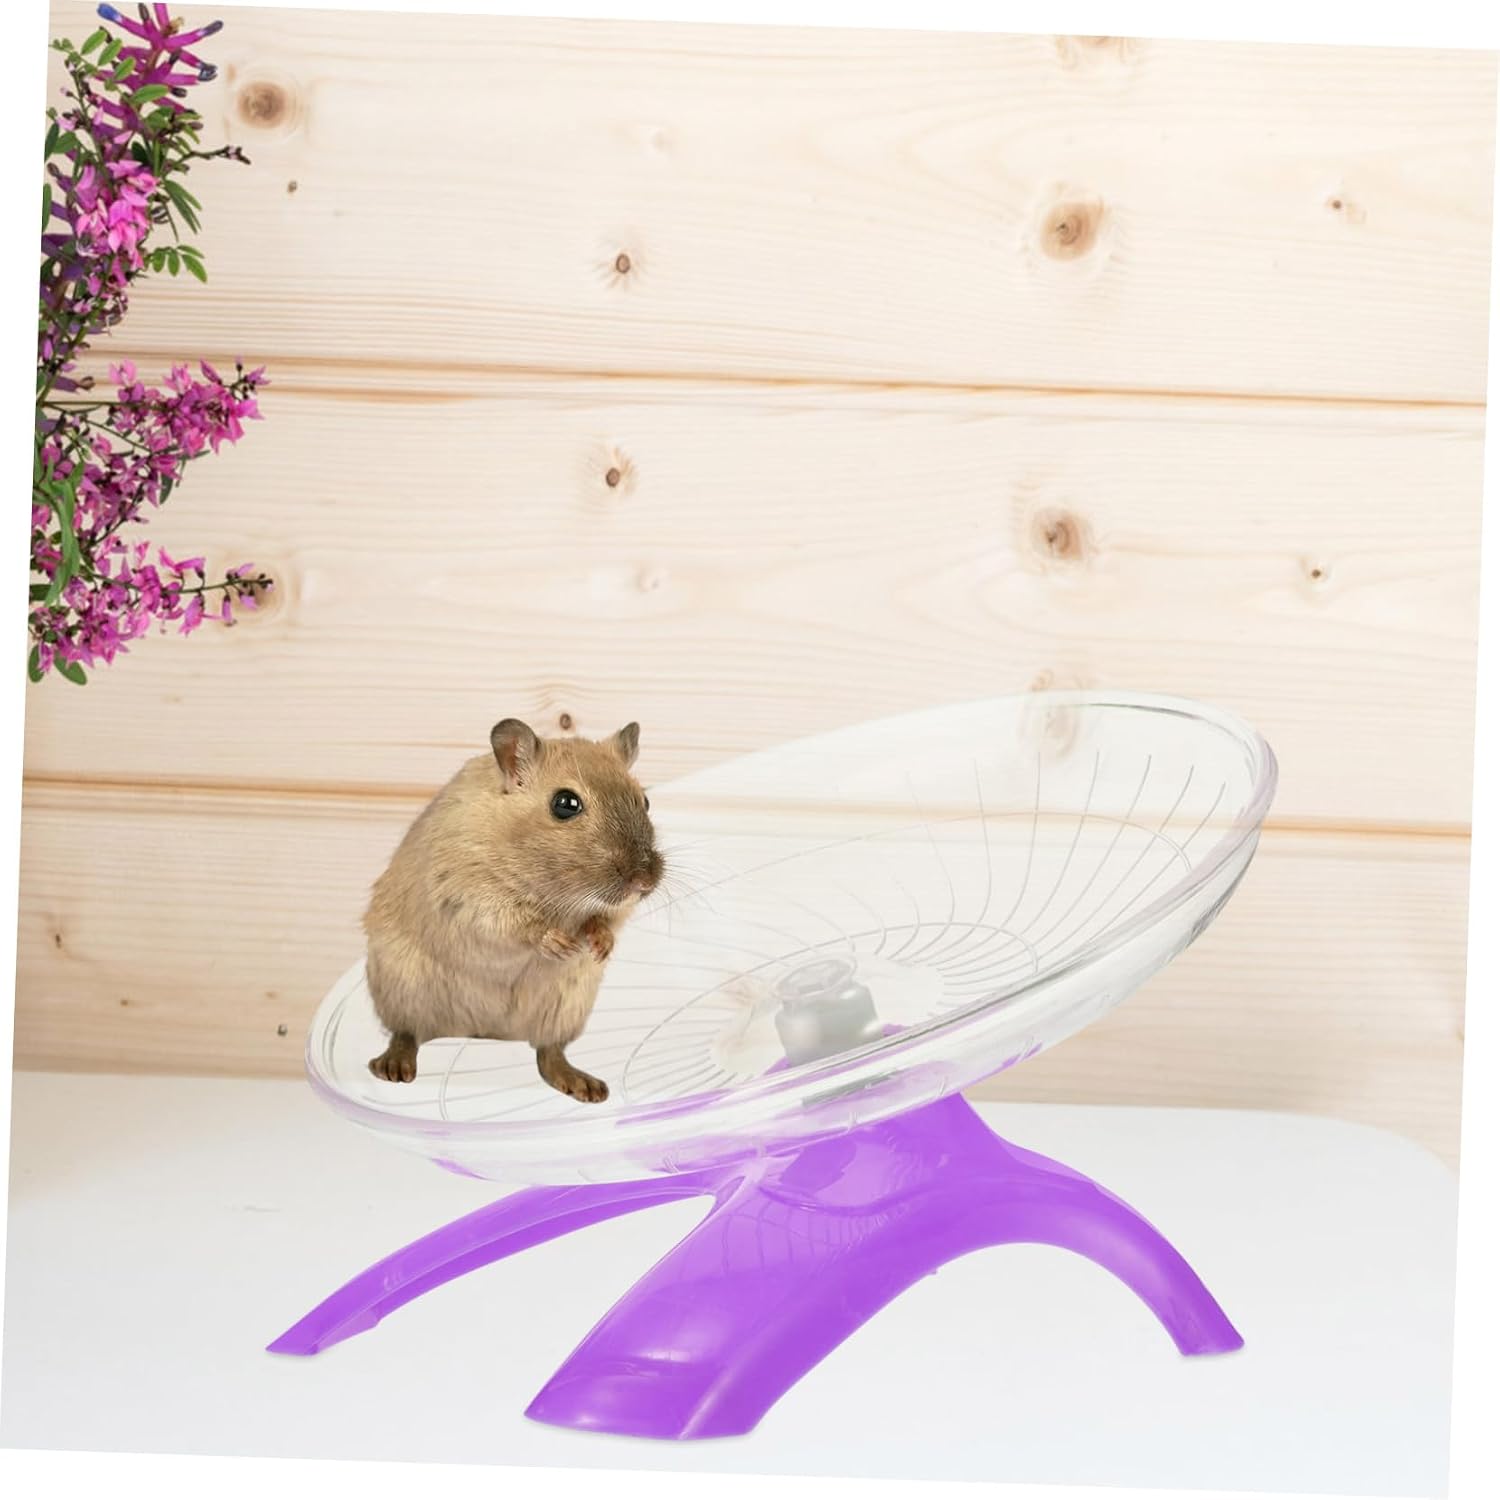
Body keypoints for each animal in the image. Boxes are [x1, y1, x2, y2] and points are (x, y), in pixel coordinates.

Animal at [362, 717, 664, 1103]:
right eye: (565, 804)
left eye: (645, 801)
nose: (644, 881)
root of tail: (483, 1031)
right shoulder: (468, 893)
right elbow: (517, 925)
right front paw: (560, 944)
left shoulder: (611, 910)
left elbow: (605, 920)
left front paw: (599, 946)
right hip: (401, 988)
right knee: (407, 1032)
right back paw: (393, 1068)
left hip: (565, 1007)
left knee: (548, 1052)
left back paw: (586, 1086)